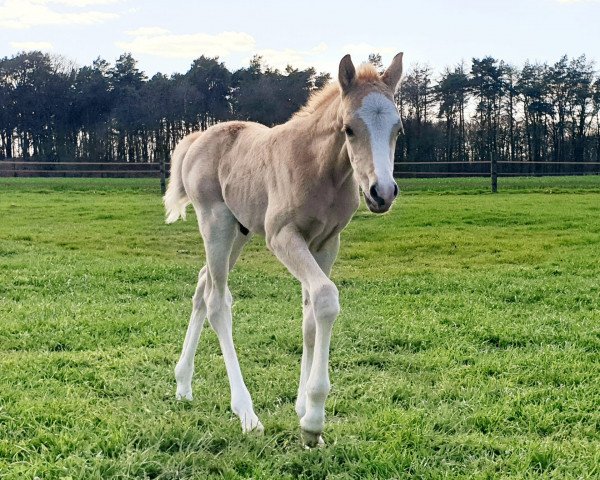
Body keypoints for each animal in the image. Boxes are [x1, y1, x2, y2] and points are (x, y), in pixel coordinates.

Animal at [163, 52, 404, 446]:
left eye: (398, 129)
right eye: (349, 128)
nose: (381, 192)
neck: (320, 169)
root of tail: (197, 137)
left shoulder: (326, 242)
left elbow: (310, 316)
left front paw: (302, 407)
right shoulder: (282, 236)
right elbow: (325, 299)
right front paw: (313, 421)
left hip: (240, 229)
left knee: (202, 284)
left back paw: (183, 384)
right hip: (216, 223)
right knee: (217, 301)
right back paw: (246, 413)